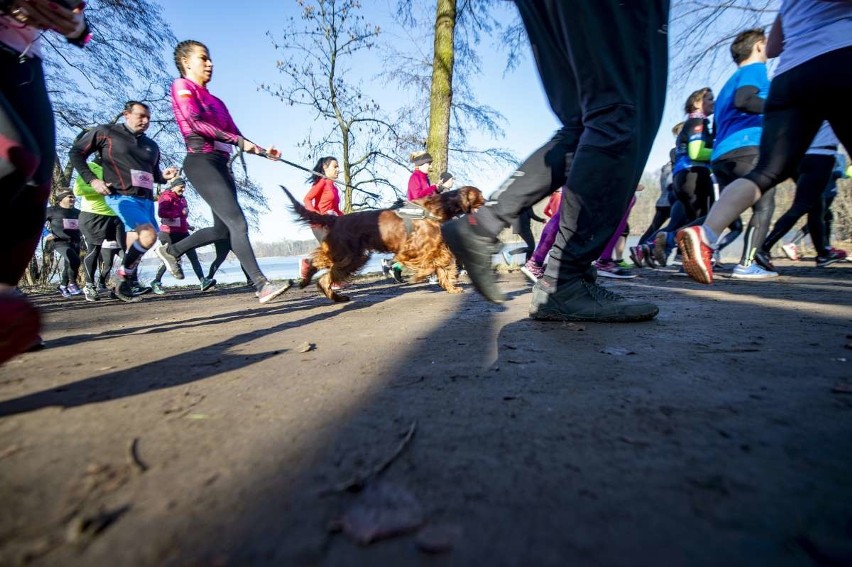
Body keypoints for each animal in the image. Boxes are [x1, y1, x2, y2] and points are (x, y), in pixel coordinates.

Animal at [282, 185, 482, 302]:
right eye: (480, 197)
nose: (487, 203)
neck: (436, 208)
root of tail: (335, 219)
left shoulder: (436, 248)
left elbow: (443, 264)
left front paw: (451, 287)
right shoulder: (411, 250)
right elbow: (429, 265)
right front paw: (419, 277)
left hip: (354, 257)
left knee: (325, 276)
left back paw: (335, 296)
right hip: (344, 253)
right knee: (315, 263)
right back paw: (306, 277)